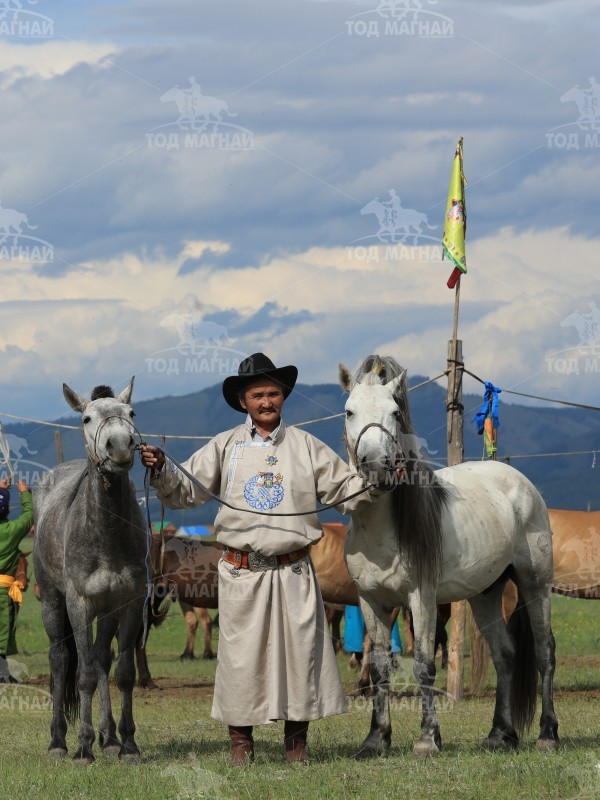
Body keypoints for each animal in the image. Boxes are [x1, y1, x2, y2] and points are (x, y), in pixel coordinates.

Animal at [33, 378, 149, 764]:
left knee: (101, 659)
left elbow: (122, 672)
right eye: (86, 418)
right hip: (52, 603)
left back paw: (109, 738)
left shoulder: (128, 603)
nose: (120, 445)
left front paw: (127, 745)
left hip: (107, 611)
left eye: (131, 413)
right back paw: (58, 741)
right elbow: (82, 674)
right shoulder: (79, 604)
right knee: (60, 660)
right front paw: (82, 748)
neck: (105, 534)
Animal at [338, 354, 556, 756]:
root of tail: (519, 482)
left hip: (535, 584)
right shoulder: (371, 601)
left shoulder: (421, 598)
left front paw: (428, 739)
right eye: (349, 411)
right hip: (485, 594)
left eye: (395, 412)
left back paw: (548, 734)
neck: (381, 530)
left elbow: (424, 665)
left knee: (543, 651)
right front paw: (376, 740)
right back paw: (499, 734)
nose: (376, 466)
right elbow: (378, 668)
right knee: (505, 653)